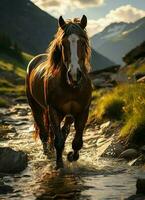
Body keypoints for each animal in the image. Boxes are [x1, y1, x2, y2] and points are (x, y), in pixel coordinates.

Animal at [25, 14, 92, 170]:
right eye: (63, 43)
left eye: (83, 42)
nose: (74, 75)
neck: (71, 87)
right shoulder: (54, 110)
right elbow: (59, 141)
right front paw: (59, 164)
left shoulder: (82, 111)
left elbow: (76, 142)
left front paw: (72, 157)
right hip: (36, 108)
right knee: (45, 133)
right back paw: (47, 153)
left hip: (66, 115)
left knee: (59, 131)